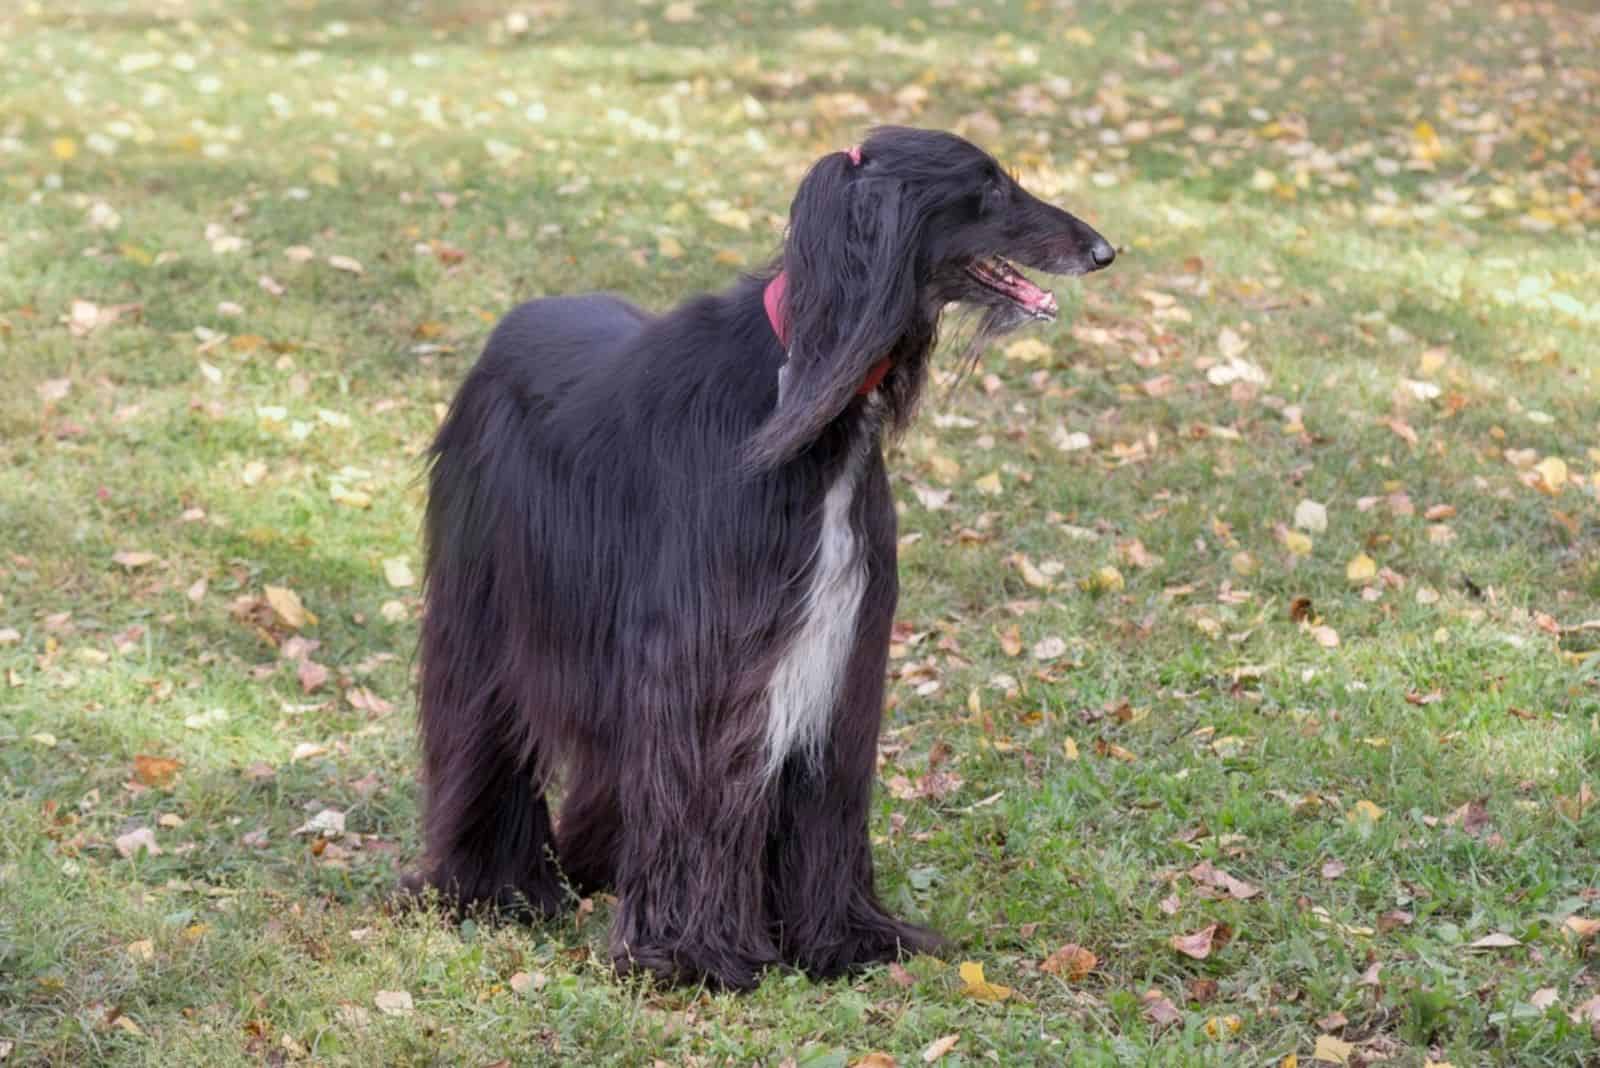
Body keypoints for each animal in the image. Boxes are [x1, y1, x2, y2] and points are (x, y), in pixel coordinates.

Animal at [406, 127, 1120, 991]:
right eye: (987, 187)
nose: (1104, 250)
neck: (804, 386)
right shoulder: (707, 643)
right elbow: (696, 785)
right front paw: (691, 953)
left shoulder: (837, 648)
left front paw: (842, 940)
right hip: (490, 590)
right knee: (483, 720)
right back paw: (491, 884)